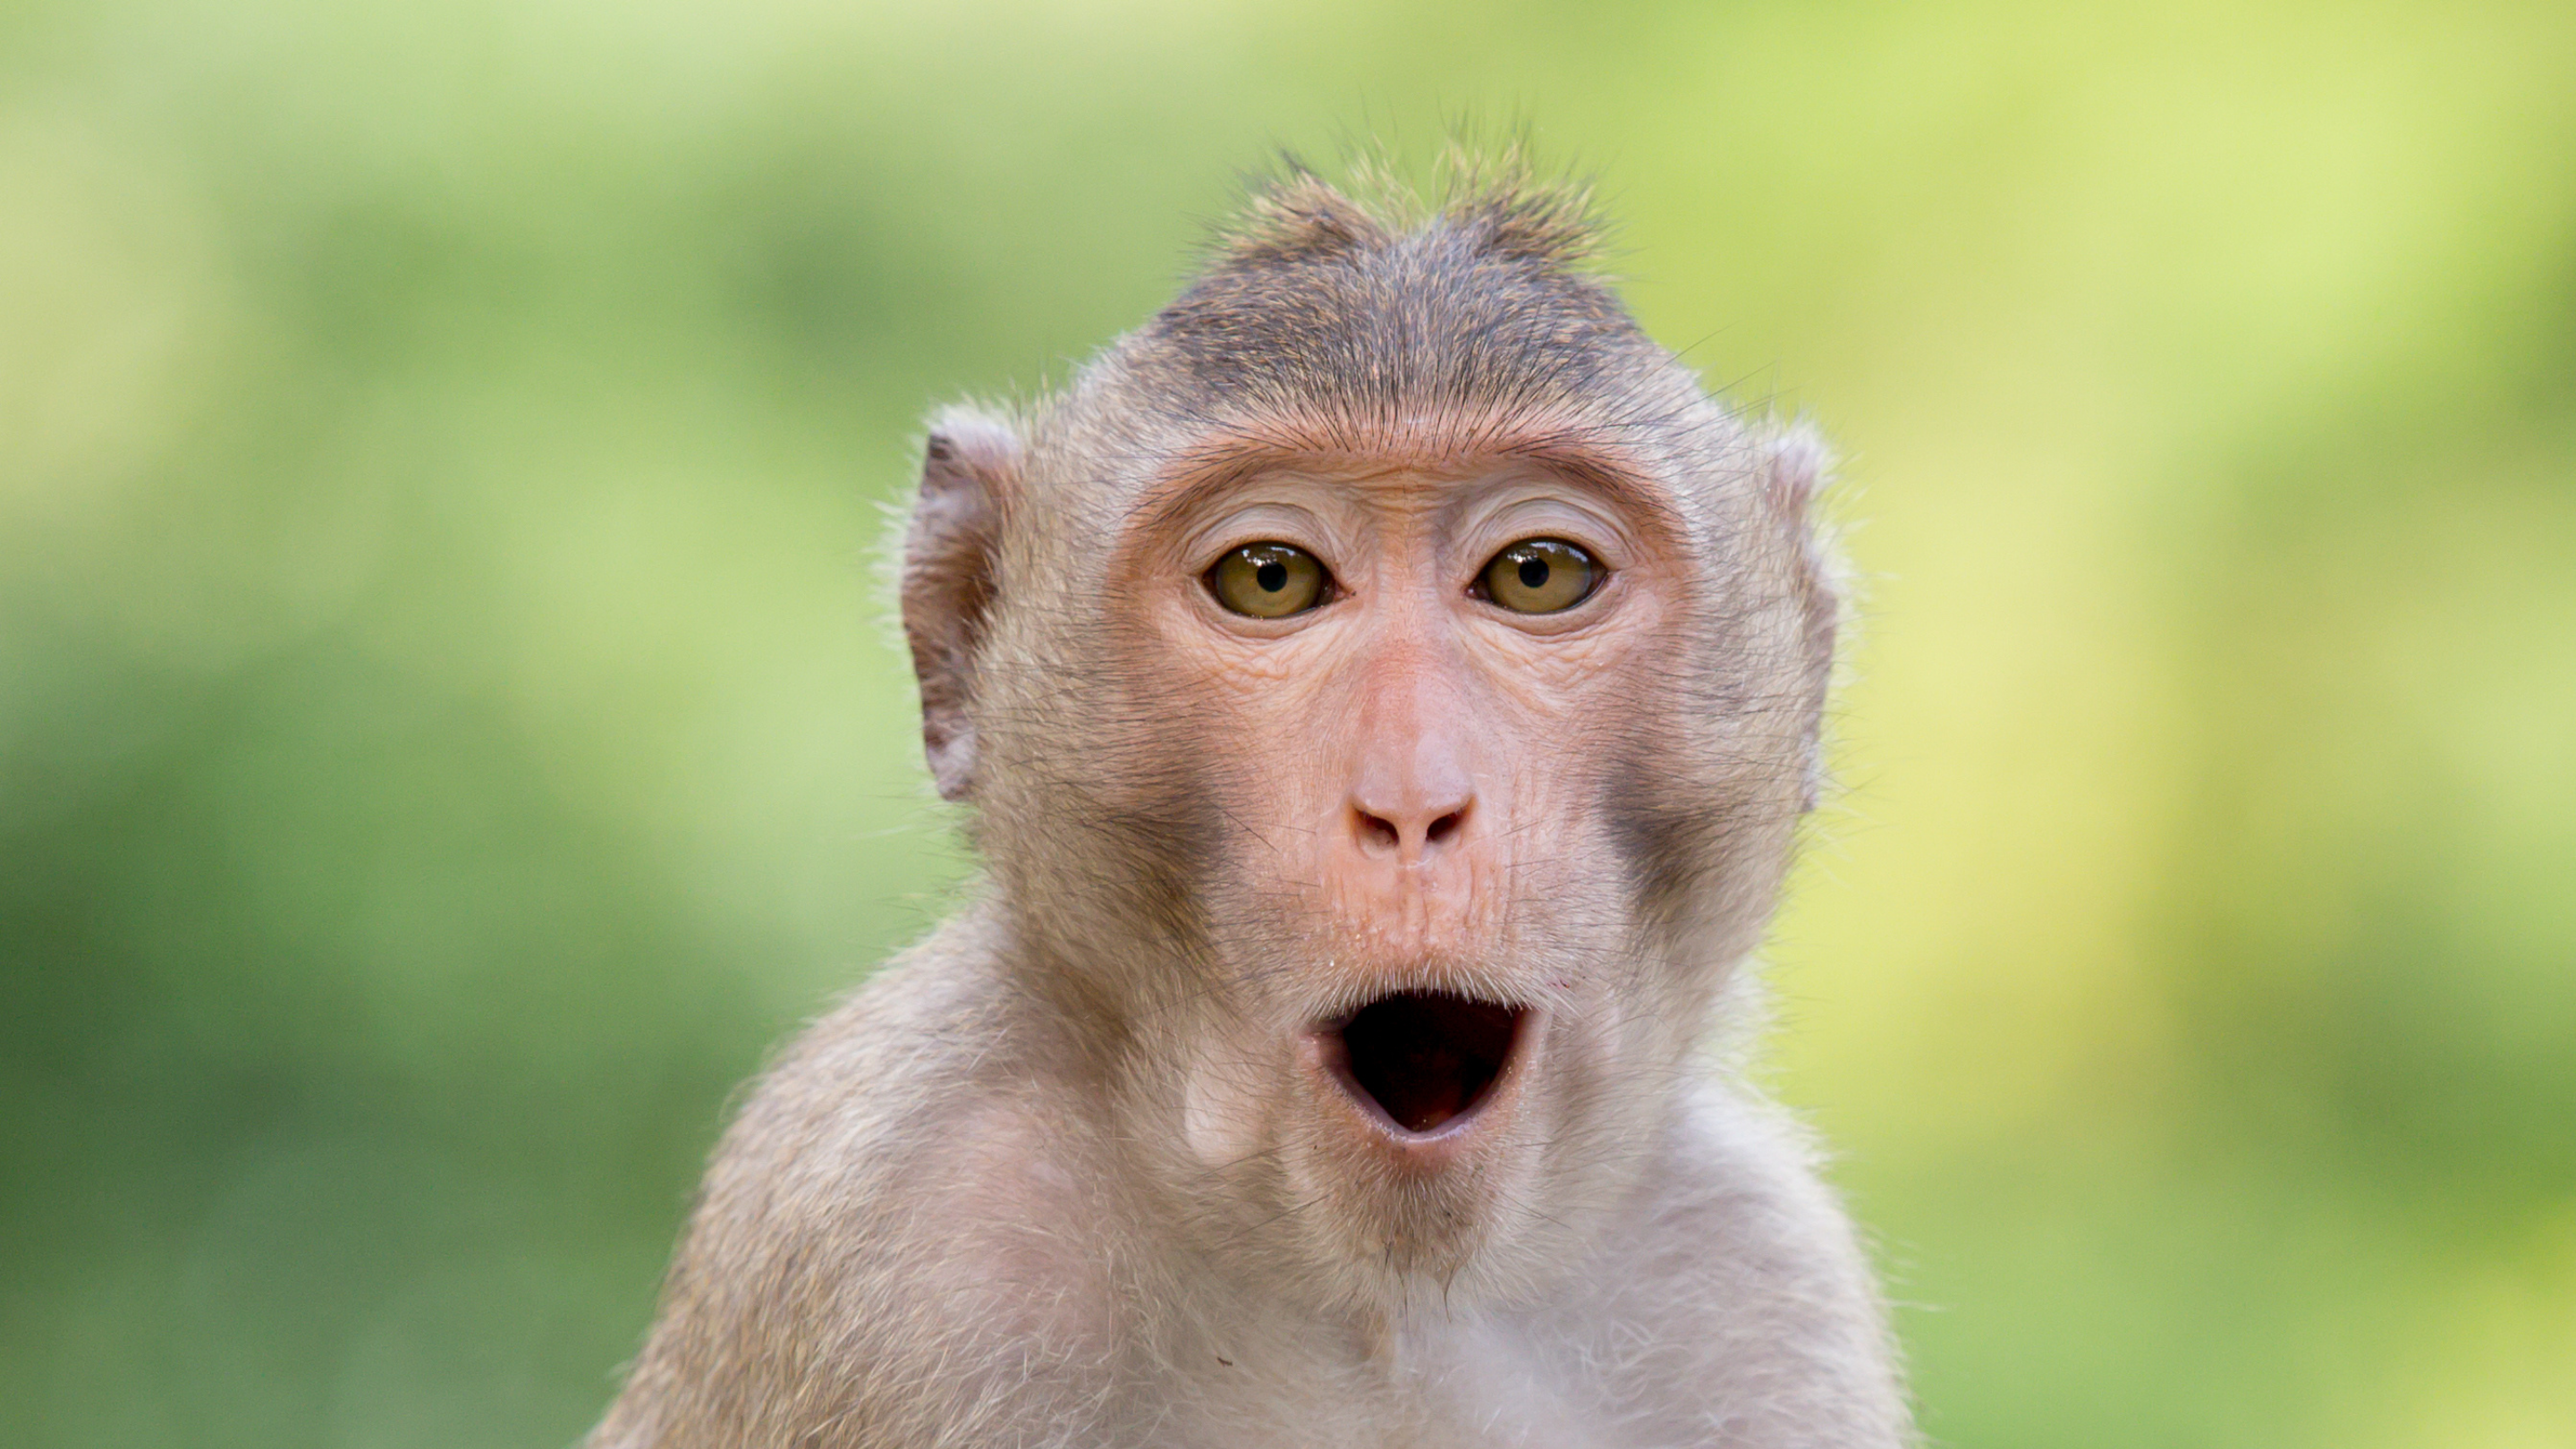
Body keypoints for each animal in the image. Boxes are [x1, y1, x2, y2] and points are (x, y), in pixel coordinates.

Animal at [589, 160, 1916, 1444]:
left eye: (1536, 576)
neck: (1374, 1305)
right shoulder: (900, 1248)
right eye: (1268, 580)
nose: (1412, 802)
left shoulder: (1761, 1284)